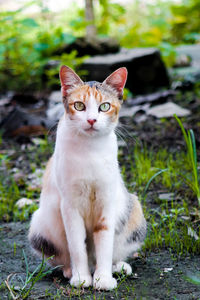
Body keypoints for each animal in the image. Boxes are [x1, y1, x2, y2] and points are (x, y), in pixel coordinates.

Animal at [28, 65, 146, 290]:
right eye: (79, 106)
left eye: (105, 106)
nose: (91, 120)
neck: (90, 151)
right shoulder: (69, 205)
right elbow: (77, 244)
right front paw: (82, 278)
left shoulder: (107, 200)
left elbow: (105, 242)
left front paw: (103, 279)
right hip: (40, 225)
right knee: (64, 255)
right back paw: (70, 270)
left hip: (134, 211)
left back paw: (118, 267)